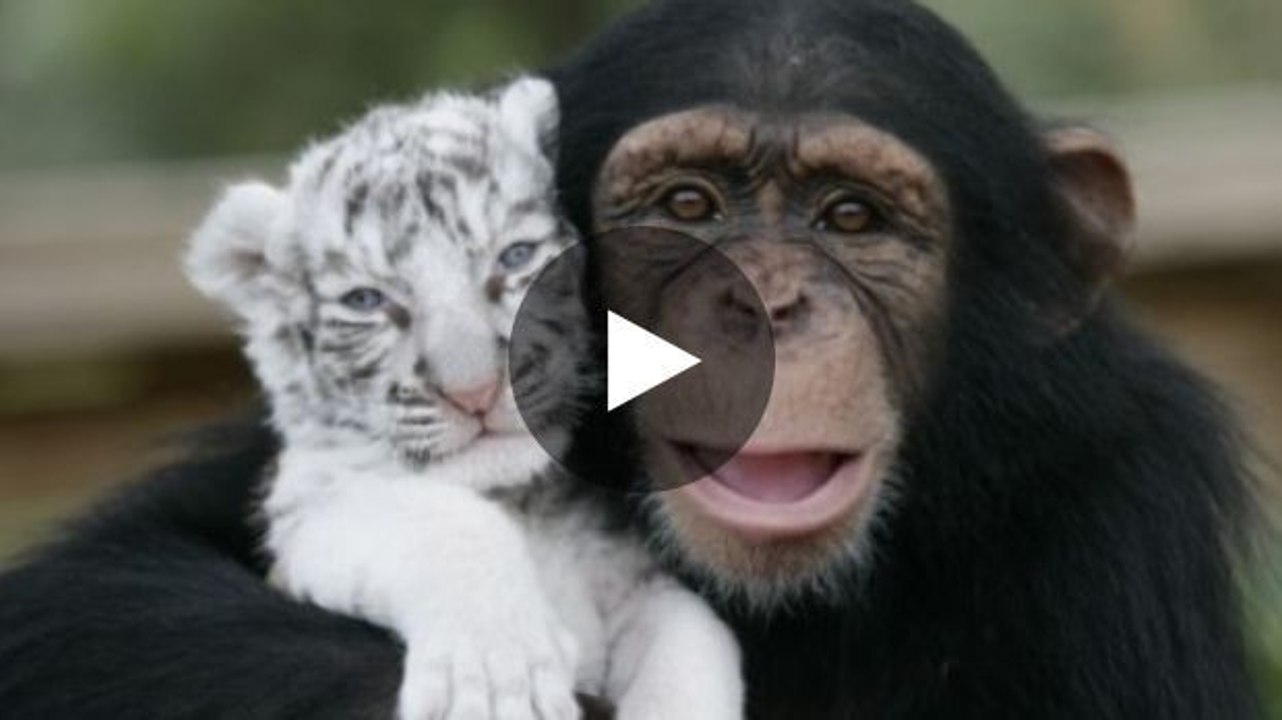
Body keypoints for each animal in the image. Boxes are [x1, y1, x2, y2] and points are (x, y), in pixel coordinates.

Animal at [184, 76, 743, 720]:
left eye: (515, 257)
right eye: (366, 301)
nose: (474, 391)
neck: (521, 503)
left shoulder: (634, 582)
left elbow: (695, 636)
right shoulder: (309, 507)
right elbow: (440, 517)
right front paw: (499, 677)